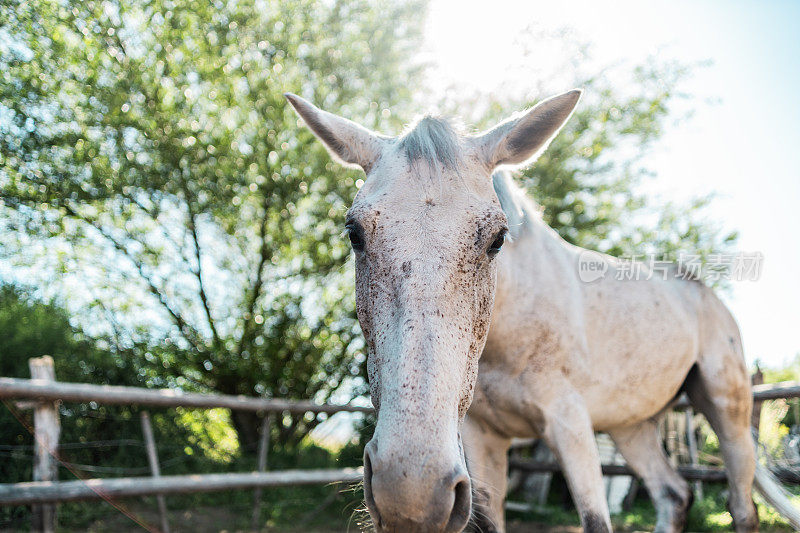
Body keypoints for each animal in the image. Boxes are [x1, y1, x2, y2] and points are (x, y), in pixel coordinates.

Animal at [284, 89, 796, 528]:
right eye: (354, 233)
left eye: (496, 239)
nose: (410, 495)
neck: (510, 331)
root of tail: (705, 292)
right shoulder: (482, 439)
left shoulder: (570, 424)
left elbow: (595, 519)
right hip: (632, 427)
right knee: (674, 495)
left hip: (727, 409)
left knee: (740, 506)